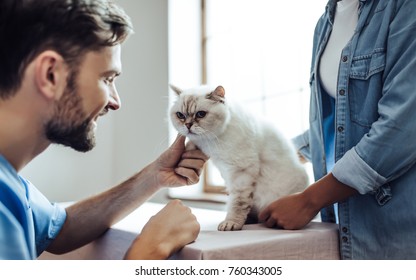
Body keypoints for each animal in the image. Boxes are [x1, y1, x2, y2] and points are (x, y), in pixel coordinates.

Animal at [169, 85, 308, 232]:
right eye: (180, 115)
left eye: (201, 114)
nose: (188, 125)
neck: (211, 142)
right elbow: (190, 145)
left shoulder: (240, 172)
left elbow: (238, 203)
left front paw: (231, 224)